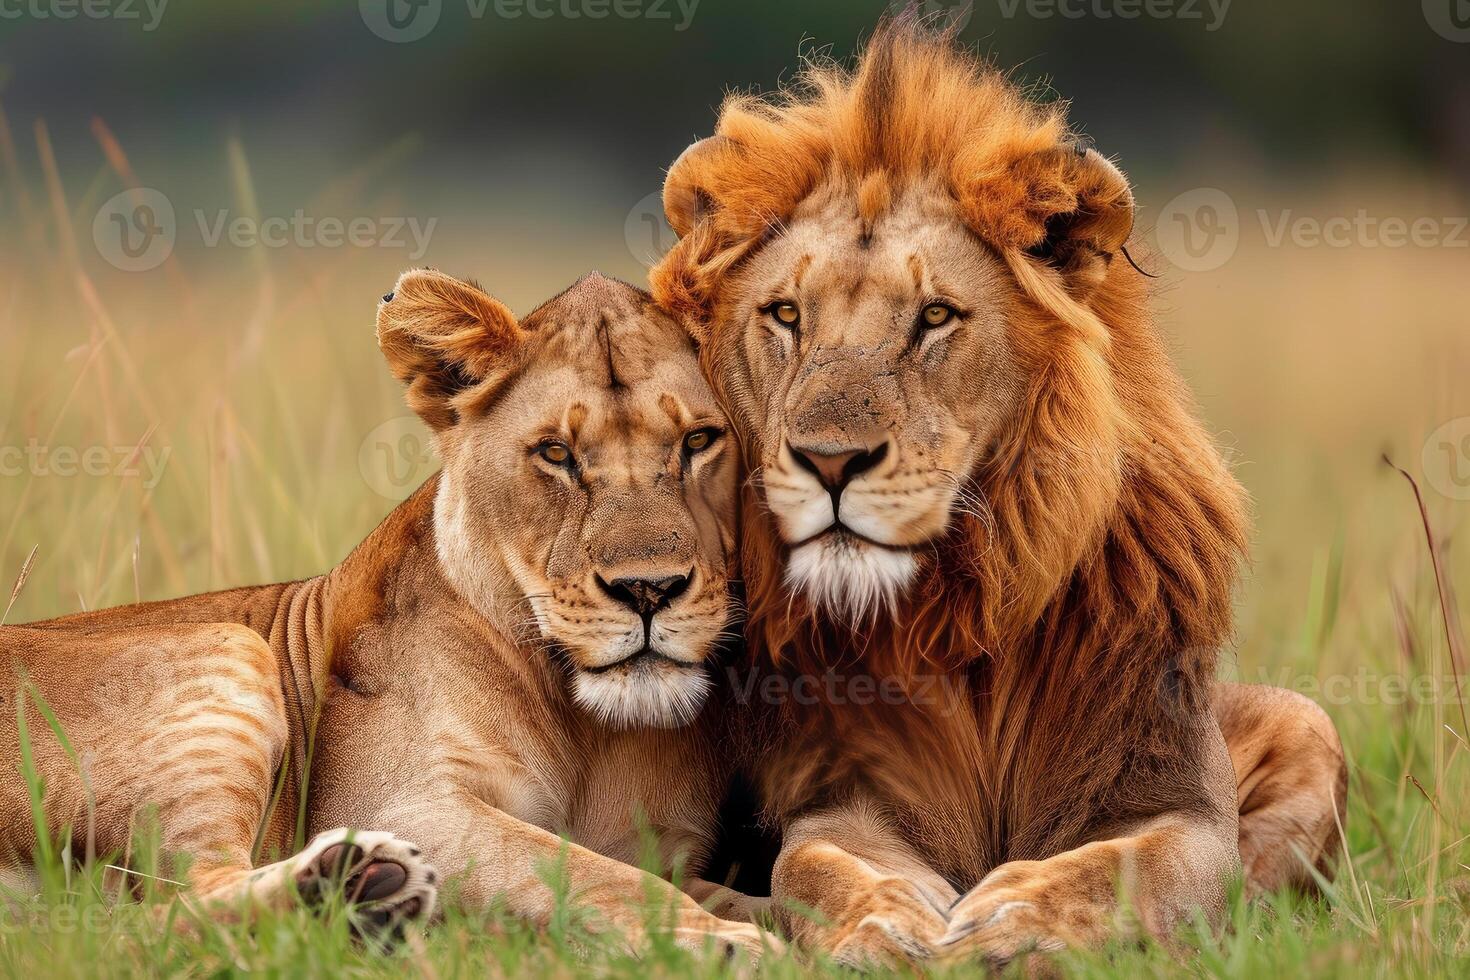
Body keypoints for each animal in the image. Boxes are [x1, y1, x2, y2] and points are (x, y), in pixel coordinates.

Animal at [2, 271, 770, 963]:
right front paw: (723, 943)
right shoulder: (397, 802)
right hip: (227, 648)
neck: (592, 731)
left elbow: (743, 891)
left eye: (699, 441)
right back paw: (357, 882)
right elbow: (595, 874)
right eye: (557, 453)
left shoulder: (669, 848)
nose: (649, 590)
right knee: (162, 911)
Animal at [649, 21, 1346, 963]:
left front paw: (1017, 917)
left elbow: (1130, 864)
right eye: (787, 315)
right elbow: (820, 863)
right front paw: (886, 919)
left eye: (935, 317)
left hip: (1309, 723)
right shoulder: (846, 793)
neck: (966, 594)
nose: (829, 463)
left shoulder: (1180, 800)